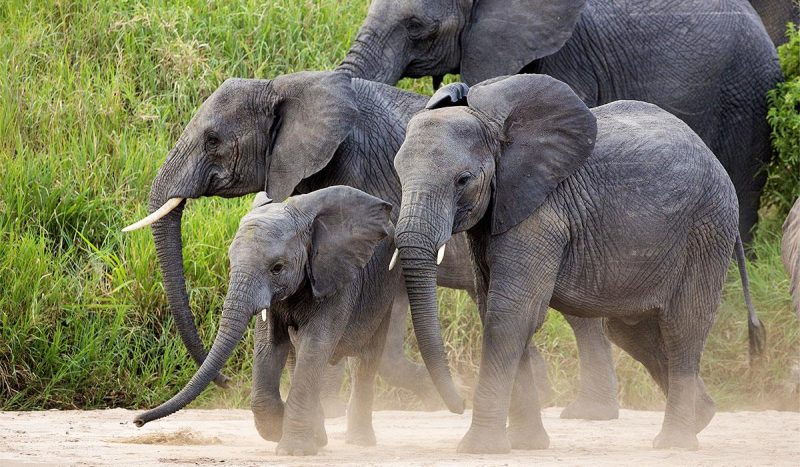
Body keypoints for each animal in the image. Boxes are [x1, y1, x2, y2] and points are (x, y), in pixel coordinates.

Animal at [134, 186, 397, 456]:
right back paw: (320, 438)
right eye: (230, 262)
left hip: (385, 290)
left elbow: (314, 346)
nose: (137, 421)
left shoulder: (335, 278)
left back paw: (360, 441)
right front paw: (278, 429)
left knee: (365, 361)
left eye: (277, 268)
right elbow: (269, 345)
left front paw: (292, 450)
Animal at [391, 75, 766, 453]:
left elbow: (511, 313)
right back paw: (703, 416)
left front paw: (479, 449)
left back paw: (674, 443)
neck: (495, 127)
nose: (458, 403)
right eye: (398, 173)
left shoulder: (541, 210)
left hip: (706, 228)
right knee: (632, 332)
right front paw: (527, 445)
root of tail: (714, 160)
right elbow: (498, 311)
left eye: (463, 180)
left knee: (682, 327)